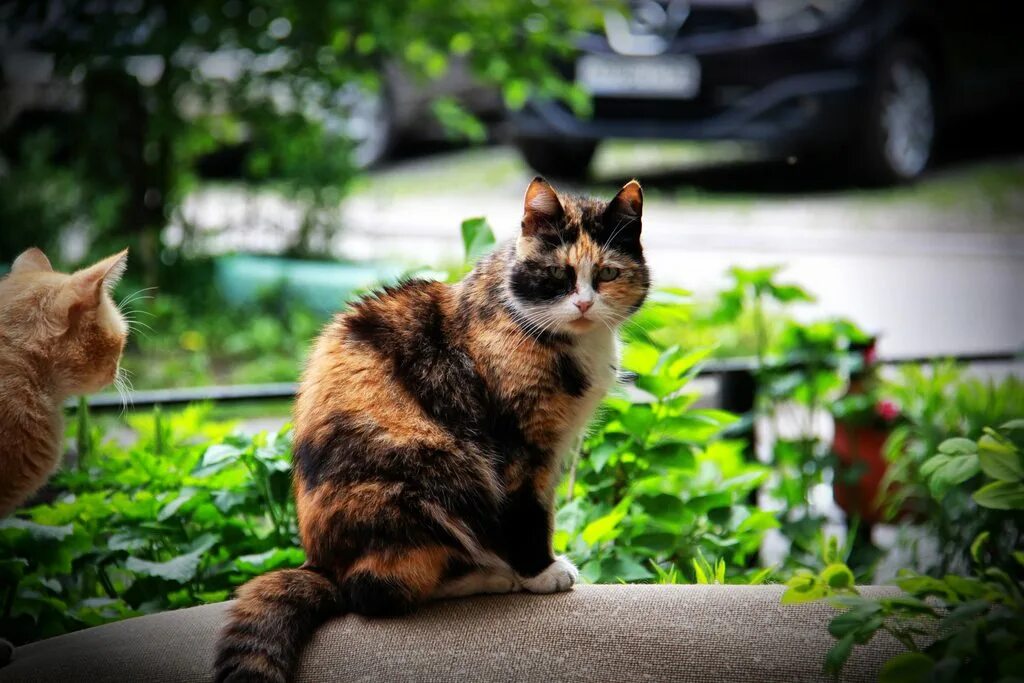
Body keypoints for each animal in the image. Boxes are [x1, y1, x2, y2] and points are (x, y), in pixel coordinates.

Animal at [215, 178, 647, 683]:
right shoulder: (520, 447)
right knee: (372, 593)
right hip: (434, 468)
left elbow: (546, 508)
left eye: (607, 274)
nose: (583, 303)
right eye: (557, 274)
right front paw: (542, 572)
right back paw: (492, 575)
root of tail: (320, 566)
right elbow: (529, 511)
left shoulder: (555, 448)